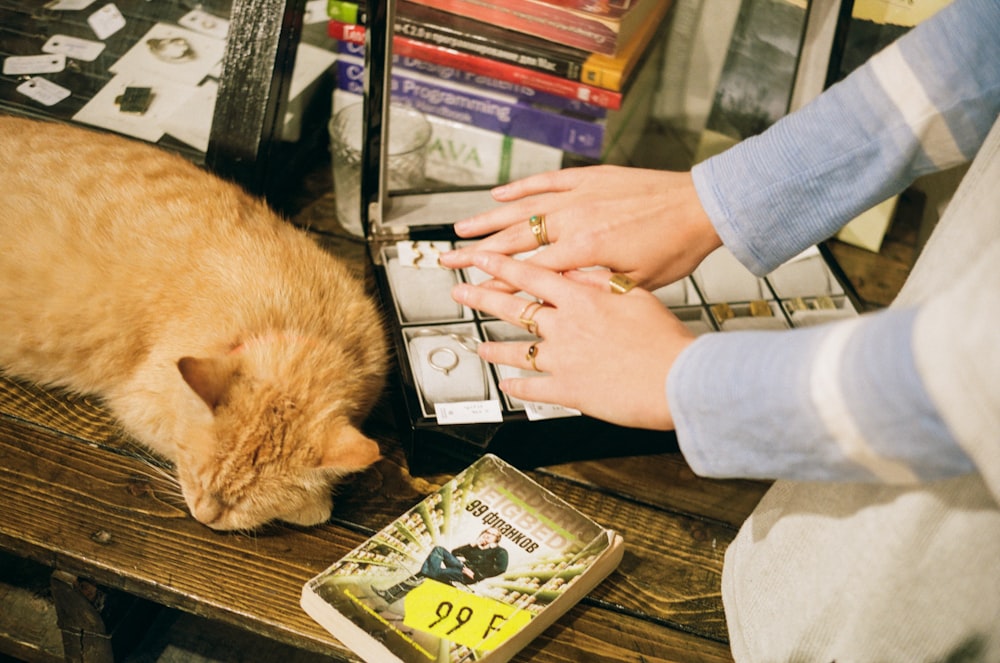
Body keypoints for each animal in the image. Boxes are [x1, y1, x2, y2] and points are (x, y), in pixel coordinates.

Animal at [0, 114, 386, 528]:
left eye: (242, 505)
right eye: (197, 474)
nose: (204, 516)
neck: (300, 319)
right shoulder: (138, 403)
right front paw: (315, 505)